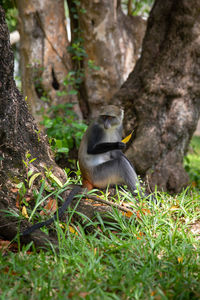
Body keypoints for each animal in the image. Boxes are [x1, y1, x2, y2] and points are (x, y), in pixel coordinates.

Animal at [21, 105, 150, 237]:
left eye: (110, 117)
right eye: (104, 117)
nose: (106, 124)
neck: (108, 129)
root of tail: (86, 179)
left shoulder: (118, 129)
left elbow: (116, 153)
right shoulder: (97, 130)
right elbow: (92, 149)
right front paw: (117, 144)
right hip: (99, 175)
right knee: (120, 163)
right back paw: (139, 194)